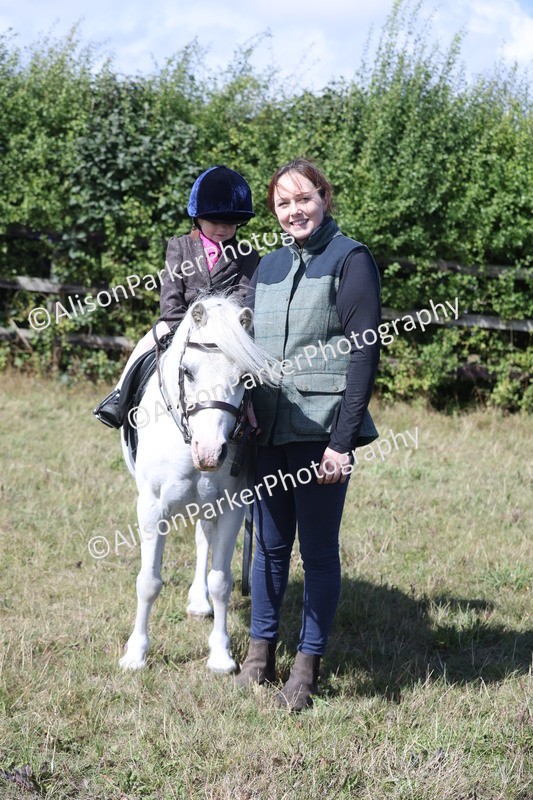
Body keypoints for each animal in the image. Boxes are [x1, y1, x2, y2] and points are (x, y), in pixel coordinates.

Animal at [118, 295, 278, 673]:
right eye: (188, 371)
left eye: (245, 378)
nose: (210, 453)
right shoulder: (151, 508)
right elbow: (148, 582)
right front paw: (135, 654)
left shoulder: (232, 508)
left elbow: (221, 581)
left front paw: (221, 655)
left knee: (204, 539)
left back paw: (199, 601)